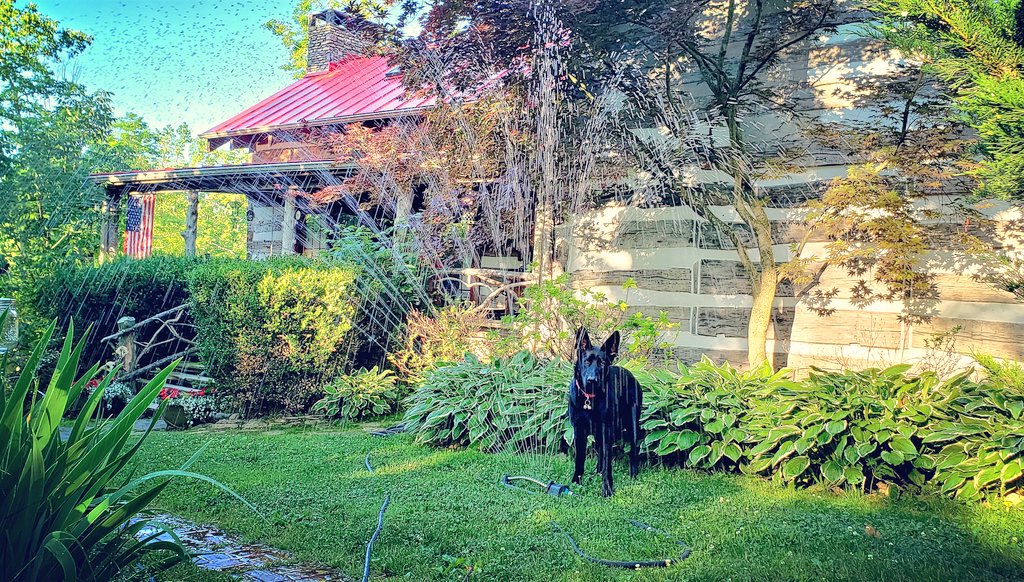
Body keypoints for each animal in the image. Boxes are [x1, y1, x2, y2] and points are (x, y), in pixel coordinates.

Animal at [565, 327, 643, 495]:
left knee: (634, 451)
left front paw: (607, 489)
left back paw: (633, 475)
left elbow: (608, 464)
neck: (589, 399)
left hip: (632, 425)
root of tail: (630, 374)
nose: (592, 380)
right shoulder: (579, 431)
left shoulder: (606, 430)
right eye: (587, 361)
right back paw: (596, 472)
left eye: (602, 363)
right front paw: (576, 483)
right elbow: (580, 460)